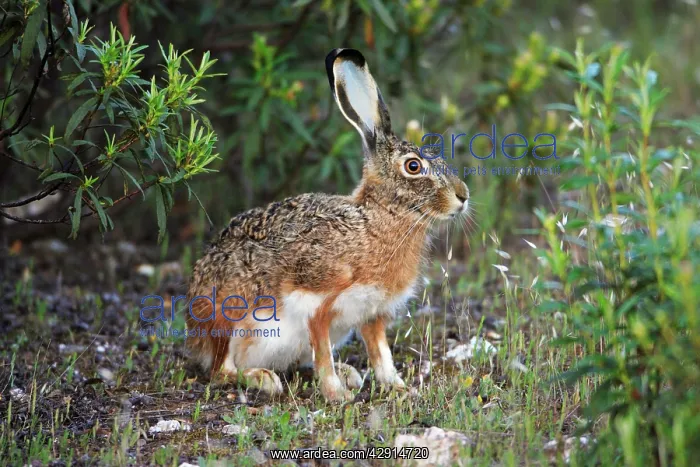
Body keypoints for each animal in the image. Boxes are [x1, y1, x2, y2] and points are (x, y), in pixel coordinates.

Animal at [186, 48, 470, 402]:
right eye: (413, 167)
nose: (463, 196)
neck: (376, 221)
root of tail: (195, 336)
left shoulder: (371, 314)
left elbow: (381, 353)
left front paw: (398, 387)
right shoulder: (316, 305)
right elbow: (322, 354)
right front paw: (337, 396)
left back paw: (348, 373)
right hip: (231, 319)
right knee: (221, 370)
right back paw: (262, 378)